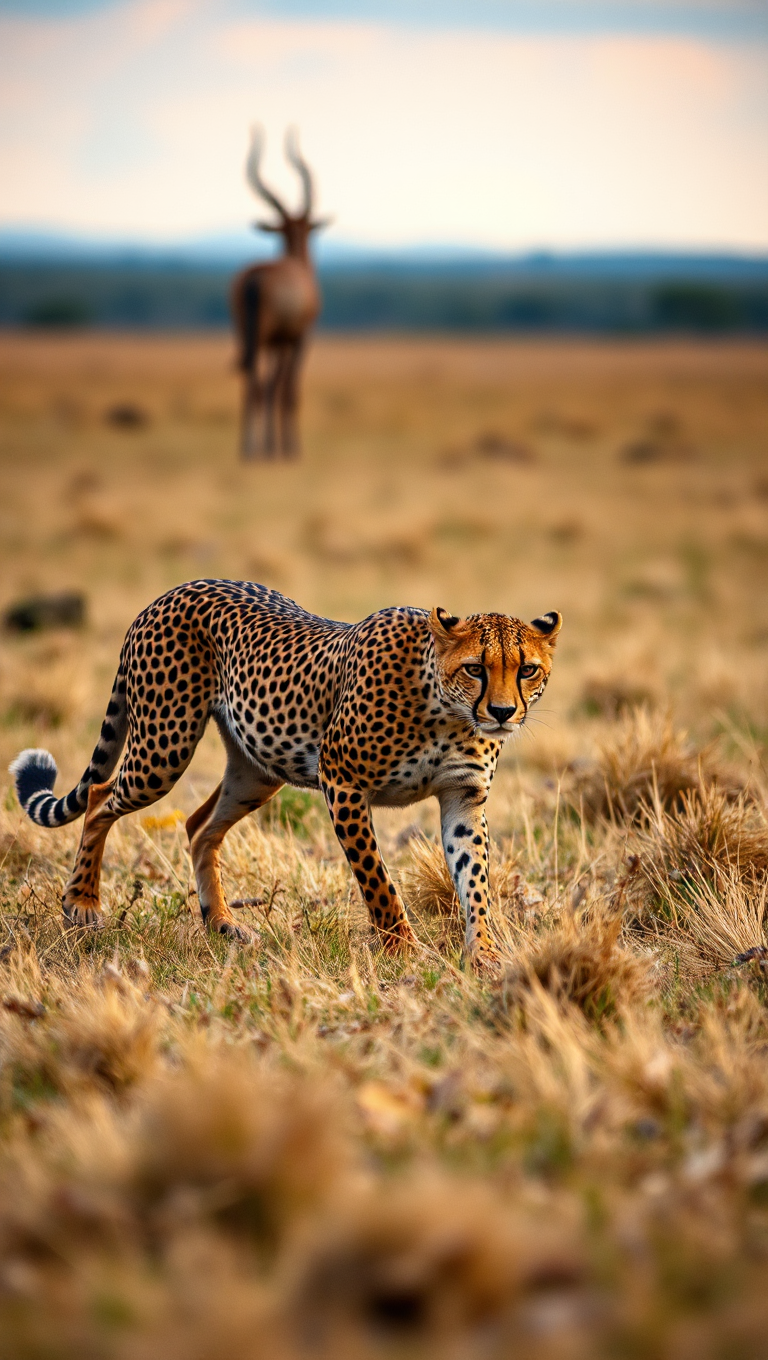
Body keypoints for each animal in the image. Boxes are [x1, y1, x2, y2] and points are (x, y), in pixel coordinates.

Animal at [9, 582, 560, 968]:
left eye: (527, 669)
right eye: (475, 668)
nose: (504, 712)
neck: (447, 711)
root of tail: (170, 593)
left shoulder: (462, 798)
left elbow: (475, 882)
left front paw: (485, 953)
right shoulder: (341, 780)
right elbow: (378, 881)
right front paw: (403, 951)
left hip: (257, 765)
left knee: (198, 826)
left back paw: (223, 924)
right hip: (163, 748)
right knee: (100, 796)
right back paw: (82, 903)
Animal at [233, 128, 328, 456]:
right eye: (306, 226)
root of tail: (256, 278)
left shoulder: (277, 344)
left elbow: (275, 388)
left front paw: (274, 447)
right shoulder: (298, 339)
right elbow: (288, 391)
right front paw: (289, 450)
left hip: (246, 336)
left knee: (252, 384)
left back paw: (248, 451)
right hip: (263, 337)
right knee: (260, 386)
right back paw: (254, 451)